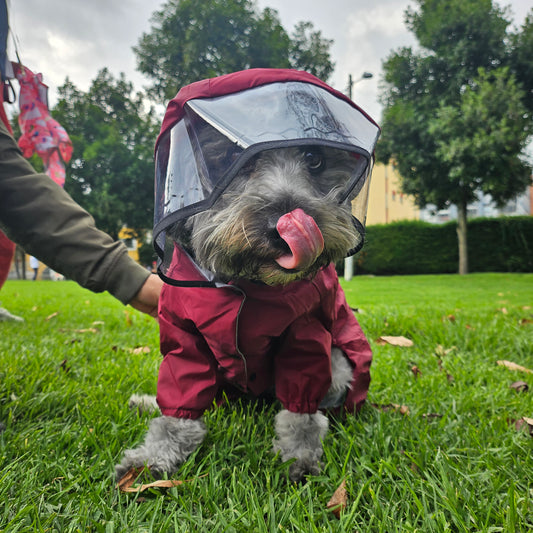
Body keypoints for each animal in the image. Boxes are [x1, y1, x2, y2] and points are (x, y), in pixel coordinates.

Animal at [115, 69, 376, 482]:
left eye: (314, 158)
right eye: (229, 159)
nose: (282, 227)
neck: (245, 285)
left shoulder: (306, 334)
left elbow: (301, 414)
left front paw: (300, 455)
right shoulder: (183, 336)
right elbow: (178, 405)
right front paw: (155, 456)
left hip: (340, 364)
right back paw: (146, 402)